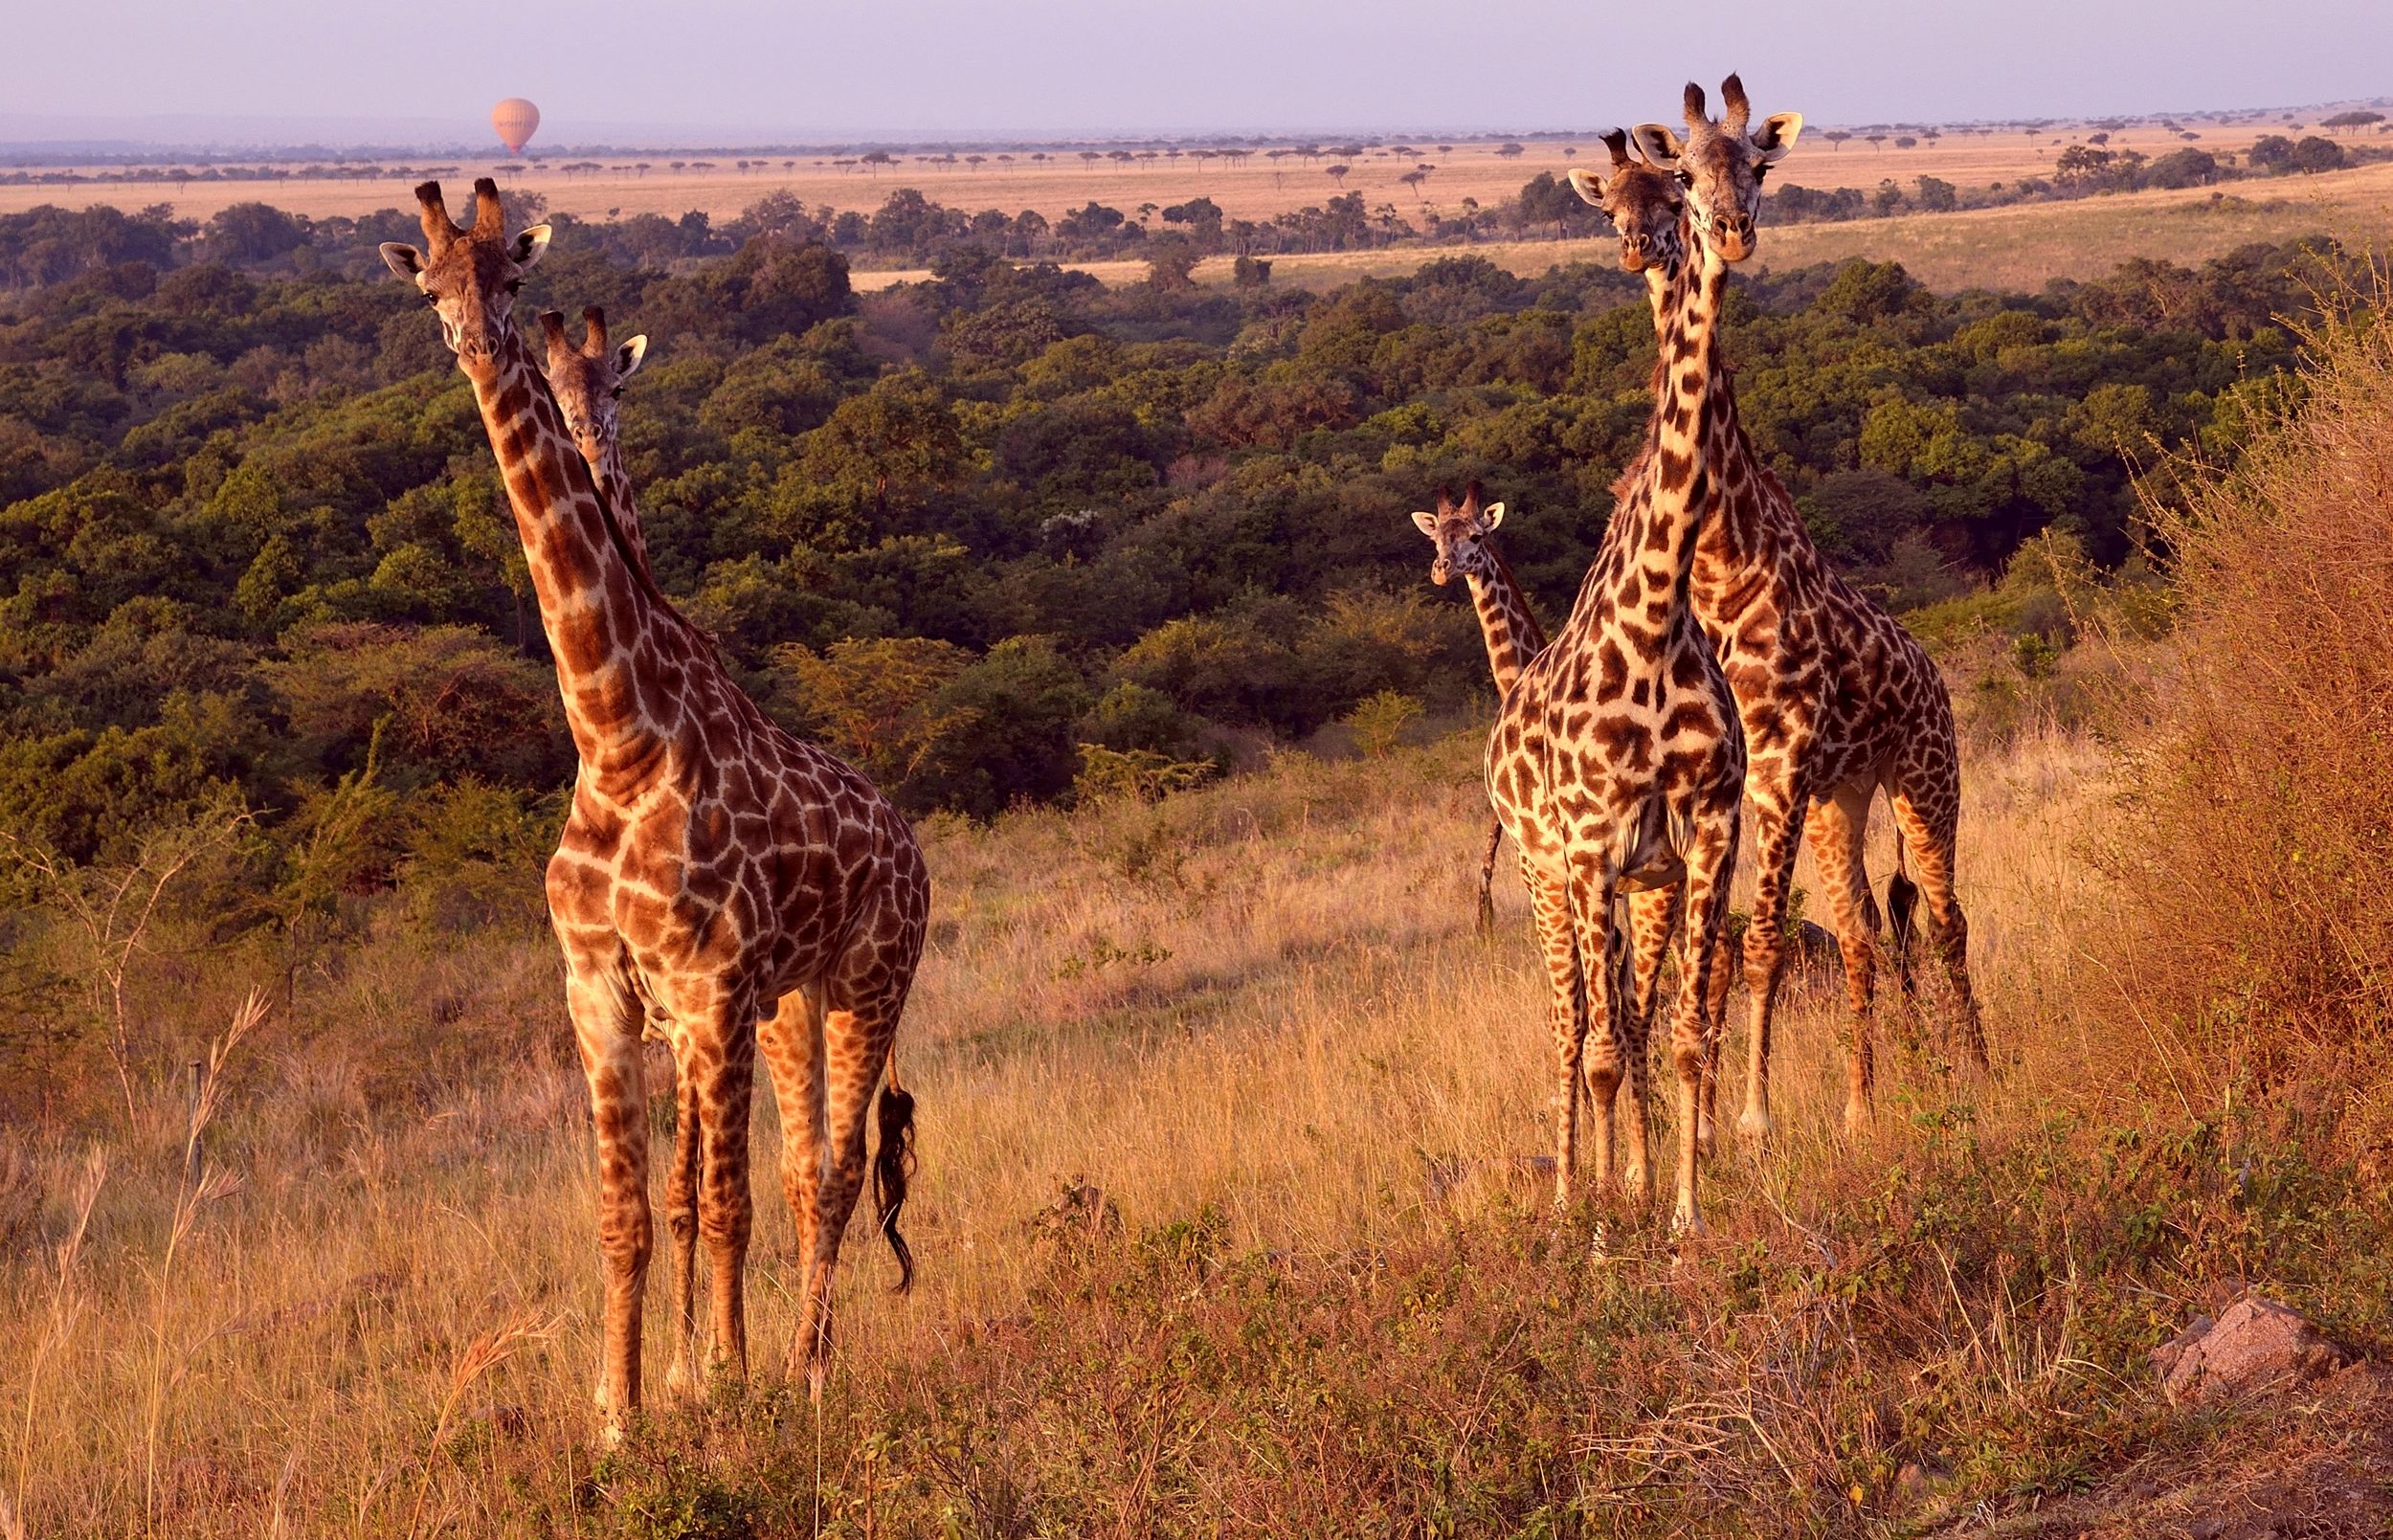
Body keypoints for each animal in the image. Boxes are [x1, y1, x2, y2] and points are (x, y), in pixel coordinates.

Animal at [380, 181, 931, 1423]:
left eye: (512, 276)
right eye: (430, 286)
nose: (476, 342)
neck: (617, 736)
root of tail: (913, 845)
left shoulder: (707, 990)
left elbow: (711, 1203)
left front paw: (714, 1380)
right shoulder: (602, 993)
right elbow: (628, 1214)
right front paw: (621, 1411)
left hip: (869, 979)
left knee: (831, 1175)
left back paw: (802, 1368)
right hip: (791, 1003)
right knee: (799, 1171)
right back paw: (795, 1356)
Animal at [1478, 189, 1747, 1227]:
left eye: (1673, 198)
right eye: (1615, 201)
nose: (1643, 247)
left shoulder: (1687, 846)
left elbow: (1668, 1028)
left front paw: (1670, 1195)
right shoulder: (1584, 857)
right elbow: (1599, 1040)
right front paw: (1602, 1209)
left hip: (1634, 882)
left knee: (1623, 1018)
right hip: (1547, 879)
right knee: (1572, 1026)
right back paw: (1573, 1192)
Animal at [1628, 79, 1988, 1137]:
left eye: (1759, 165)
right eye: (1682, 175)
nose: (1733, 230)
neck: (1725, 566)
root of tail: (1934, 674)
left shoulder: (1778, 766)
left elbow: (1760, 944)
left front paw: (1748, 1119)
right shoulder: (1754, 780)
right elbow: (1730, 945)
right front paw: (1721, 1118)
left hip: (1925, 775)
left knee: (1944, 917)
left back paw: (1980, 1072)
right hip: (1844, 796)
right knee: (1867, 930)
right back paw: (1869, 1104)